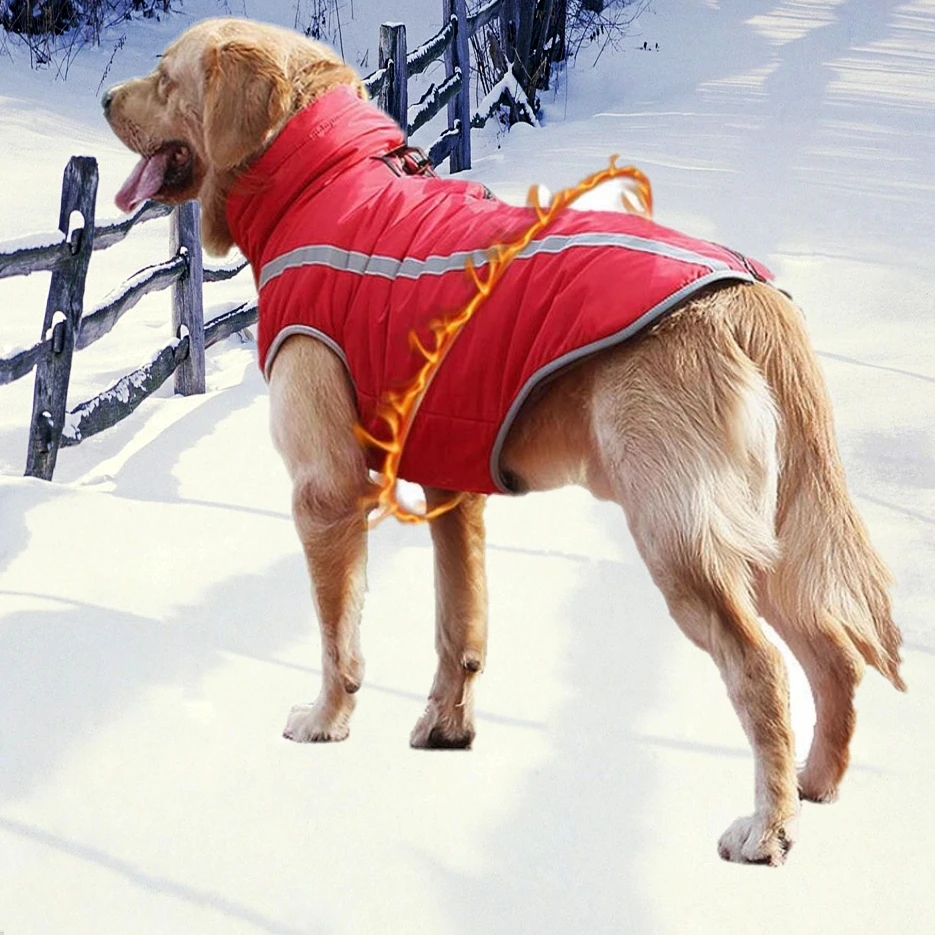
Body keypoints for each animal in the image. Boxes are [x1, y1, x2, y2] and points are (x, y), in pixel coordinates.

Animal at [104, 16, 908, 864]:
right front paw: (446, 727)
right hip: (770, 536)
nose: (102, 99)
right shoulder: (449, 487)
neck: (322, 181)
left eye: (164, 77)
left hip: (681, 541)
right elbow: (459, 626)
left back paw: (766, 827)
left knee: (762, 668)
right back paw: (814, 785)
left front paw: (326, 721)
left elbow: (337, 638)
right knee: (833, 653)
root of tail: (747, 297)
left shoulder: (326, 491)